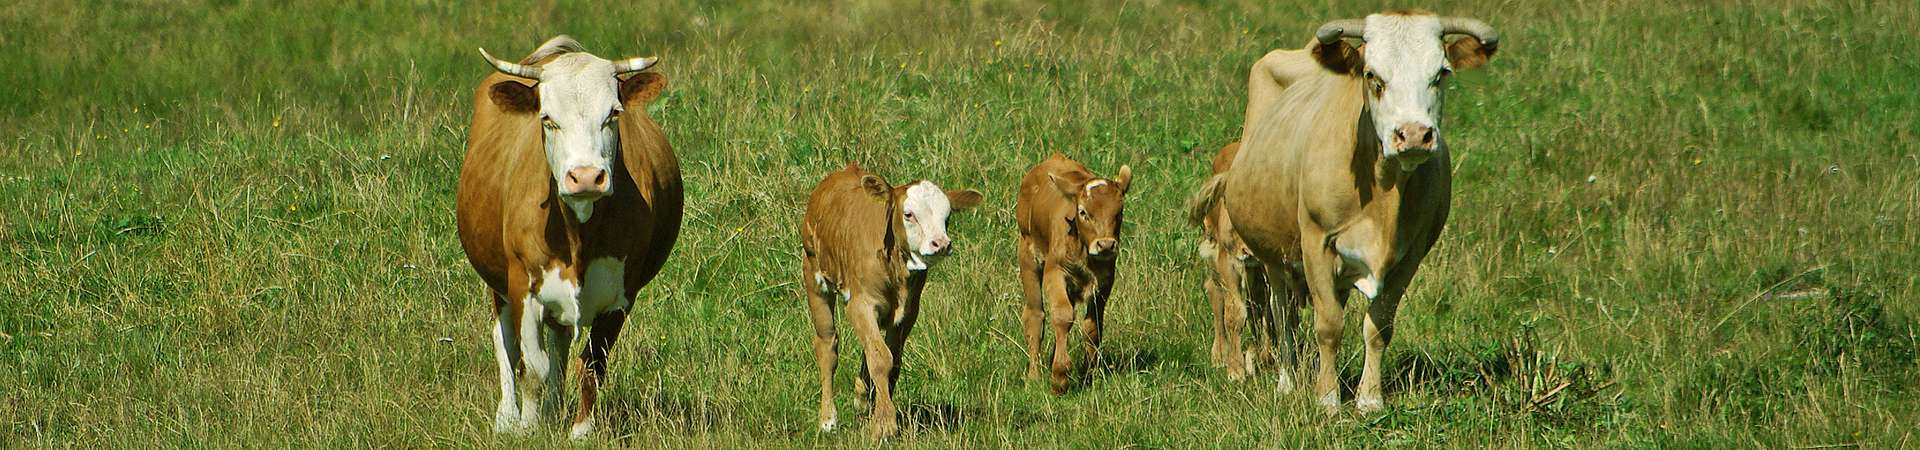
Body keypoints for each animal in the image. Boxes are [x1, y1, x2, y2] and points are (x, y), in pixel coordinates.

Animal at [455, 36, 683, 440]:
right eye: (548, 119)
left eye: (613, 114)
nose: (587, 176)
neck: (578, 235)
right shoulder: (522, 285)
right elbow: (532, 367)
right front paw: (527, 428)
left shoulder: (621, 295)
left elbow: (591, 366)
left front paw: (580, 431)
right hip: (497, 281)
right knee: (505, 343)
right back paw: (508, 418)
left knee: (560, 345)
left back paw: (553, 411)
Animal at [1013, 153, 1128, 394]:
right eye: (1083, 212)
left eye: (1119, 212)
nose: (1105, 245)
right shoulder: (1055, 272)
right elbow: (1062, 315)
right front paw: (1059, 377)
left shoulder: (1105, 281)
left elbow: (1092, 327)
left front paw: (1087, 377)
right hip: (1027, 254)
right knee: (1035, 315)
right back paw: (1034, 376)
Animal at [1213, 10, 1497, 413]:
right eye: (1372, 75)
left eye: (1441, 73)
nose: (1413, 135)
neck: (1385, 191)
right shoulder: (1316, 242)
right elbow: (1328, 325)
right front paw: (1327, 398)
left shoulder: (1411, 255)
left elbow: (1379, 326)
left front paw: (1369, 399)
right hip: (1272, 255)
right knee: (1282, 316)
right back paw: (1287, 381)